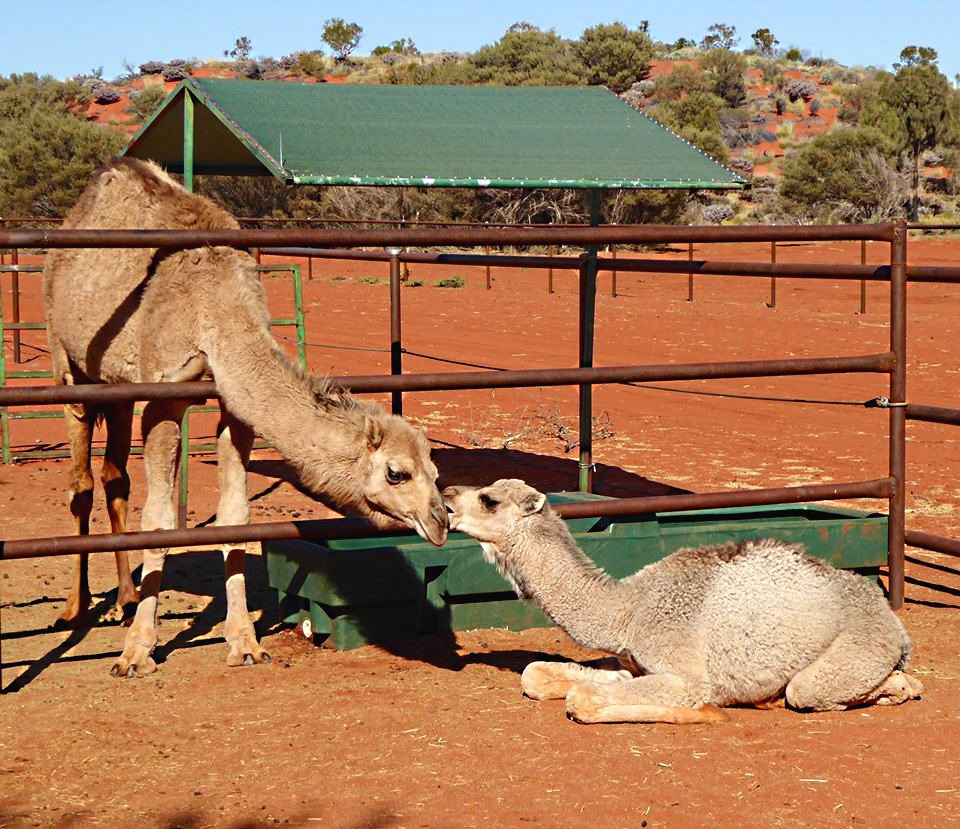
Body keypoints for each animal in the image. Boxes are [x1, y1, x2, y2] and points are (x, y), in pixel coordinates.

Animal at [45, 158, 450, 676]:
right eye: (397, 473)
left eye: (436, 470)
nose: (440, 522)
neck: (216, 310)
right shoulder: (162, 394)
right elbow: (159, 521)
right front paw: (136, 653)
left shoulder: (234, 406)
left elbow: (235, 516)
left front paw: (245, 643)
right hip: (68, 364)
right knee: (81, 480)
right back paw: (75, 611)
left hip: (116, 387)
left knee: (115, 476)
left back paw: (125, 599)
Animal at [442, 478, 924, 724]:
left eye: (489, 499)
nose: (444, 497)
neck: (629, 609)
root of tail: (895, 626)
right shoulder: (633, 659)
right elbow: (535, 673)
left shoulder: (685, 670)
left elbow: (583, 700)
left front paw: (706, 711)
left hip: (857, 649)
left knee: (821, 689)